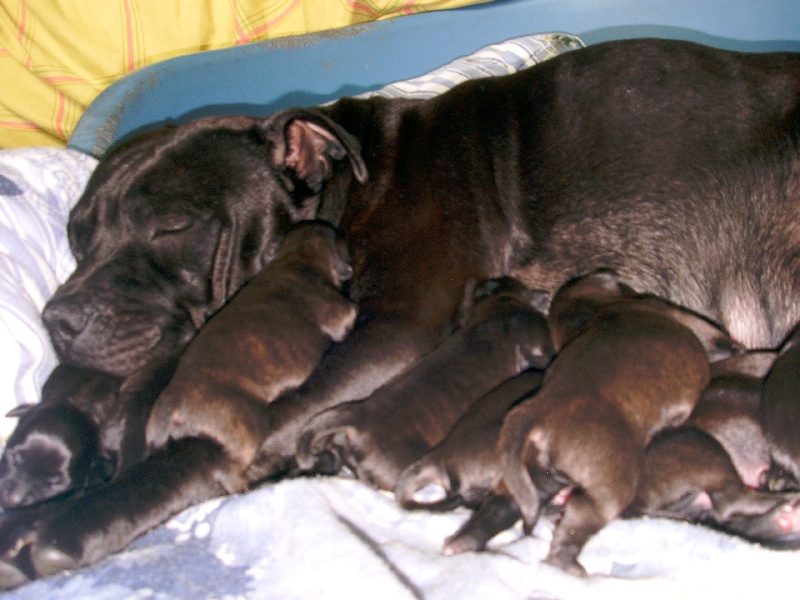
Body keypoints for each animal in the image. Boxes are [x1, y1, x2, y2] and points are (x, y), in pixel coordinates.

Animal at [494, 270, 736, 576]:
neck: (593, 309)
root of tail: (535, 411)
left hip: (537, 474)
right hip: (611, 489)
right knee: (577, 521)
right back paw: (572, 568)